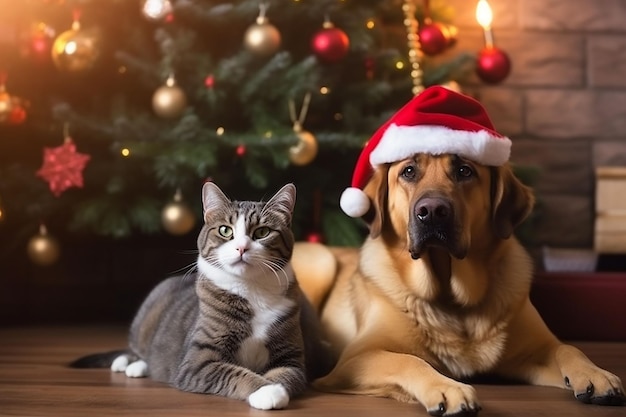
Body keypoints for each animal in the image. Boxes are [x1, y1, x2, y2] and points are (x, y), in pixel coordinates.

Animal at [72, 183, 326, 410]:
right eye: (225, 230)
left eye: (262, 232)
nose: (242, 248)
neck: (250, 289)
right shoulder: (197, 361)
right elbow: (233, 372)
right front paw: (265, 390)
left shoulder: (291, 356)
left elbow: (286, 373)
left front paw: (272, 389)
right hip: (148, 311)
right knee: (136, 348)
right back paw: (131, 364)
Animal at [294, 154, 624, 414]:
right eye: (408, 171)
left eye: (465, 170)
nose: (431, 211)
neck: (451, 294)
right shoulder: (356, 359)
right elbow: (409, 361)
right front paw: (447, 389)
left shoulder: (534, 351)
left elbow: (567, 348)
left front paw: (596, 374)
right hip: (321, 262)